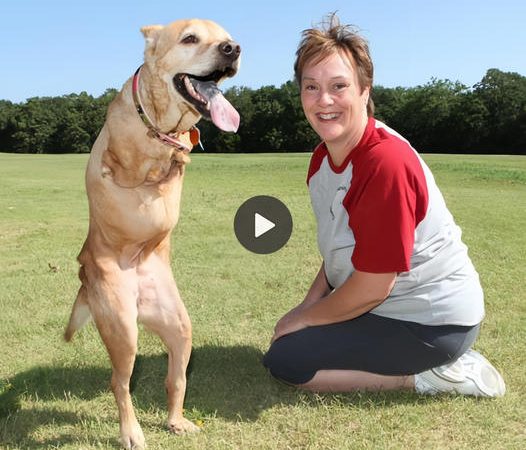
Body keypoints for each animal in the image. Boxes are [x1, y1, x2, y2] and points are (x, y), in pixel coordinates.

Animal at [63, 19, 241, 448]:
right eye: (190, 38)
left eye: (226, 37)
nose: (233, 49)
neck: (160, 122)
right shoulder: (119, 163)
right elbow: (132, 166)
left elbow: (179, 155)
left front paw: (178, 154)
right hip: (123, 330)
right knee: (119, 383)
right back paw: (131, 432)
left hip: (179, 328)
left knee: (174, 380)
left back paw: (177, 421)